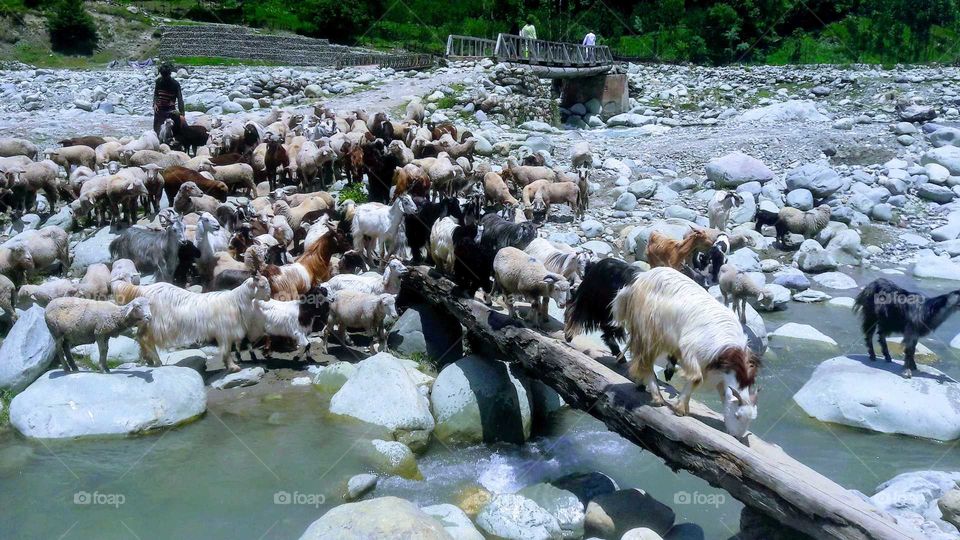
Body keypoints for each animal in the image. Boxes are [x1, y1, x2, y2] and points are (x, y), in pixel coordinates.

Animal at [113, 276, 270, 372]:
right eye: (263, 285)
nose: (269, 296)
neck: (236, 300)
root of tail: (143, 289)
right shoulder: (224, 330)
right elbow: (226, 350)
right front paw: (233, 367)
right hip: (156, 323)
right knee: (146, 339)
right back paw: (157, 361)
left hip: (147, 322)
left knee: (140, 336)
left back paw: (149, 360)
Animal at [611, 266, 761, 438]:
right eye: (737, 415)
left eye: (751, 420)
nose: (736, 436)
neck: (728, 351)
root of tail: (639, 280)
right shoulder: (693, 352)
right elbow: (696, 379)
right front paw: (680, 409)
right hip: (649, 331)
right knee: (646, 362)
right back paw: (657, 397)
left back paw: (641, 384)